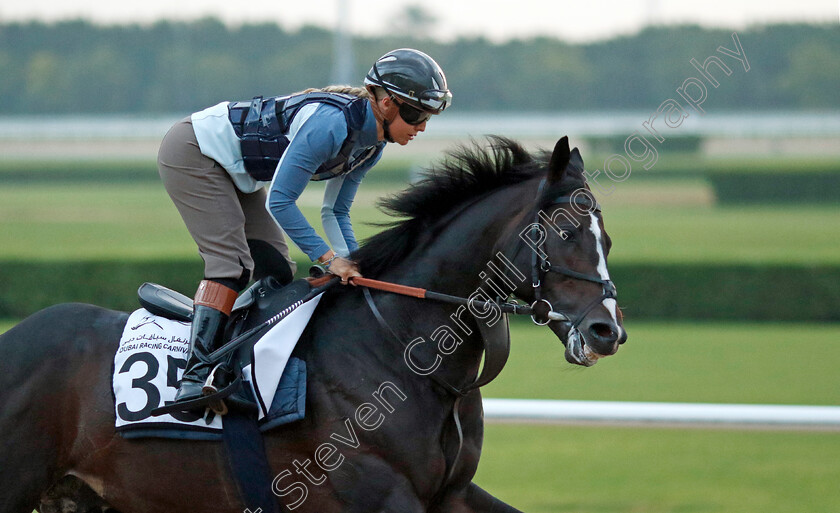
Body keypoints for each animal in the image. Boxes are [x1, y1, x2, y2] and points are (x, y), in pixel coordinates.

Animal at [0, 136, 624, 512]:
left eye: (608, 239)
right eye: (564, 233)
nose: (608, 331)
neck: (405, 353)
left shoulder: (451, 493)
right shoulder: (379, 493)